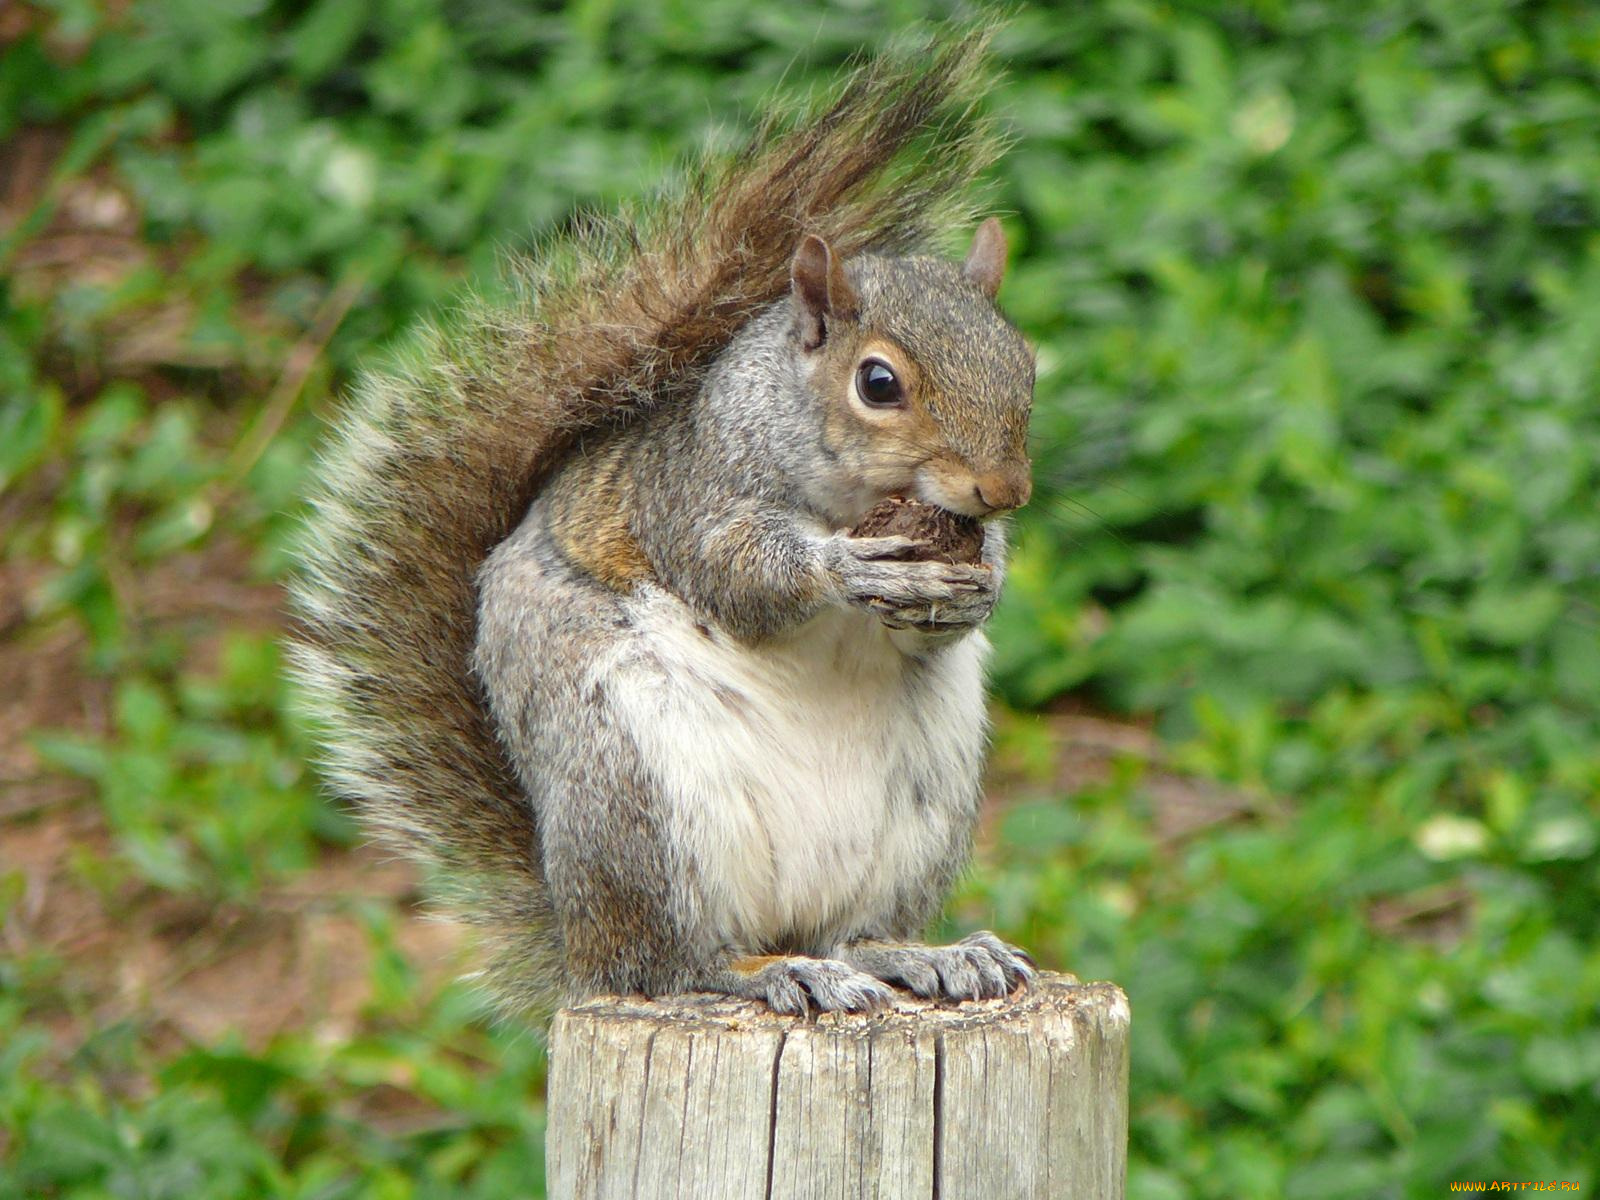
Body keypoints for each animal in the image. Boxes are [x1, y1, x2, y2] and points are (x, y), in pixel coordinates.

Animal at [290, 29, 1039, 1020]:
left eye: (1025, 363)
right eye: (878, 383)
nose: (1004, 489)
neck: (843, 491)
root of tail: (581, 946)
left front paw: (977, 587)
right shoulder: (686, 495)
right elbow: (737, 576)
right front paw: (851, 568)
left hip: (925, 803)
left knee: (850, 931)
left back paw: (921, 955)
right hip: (634, 790)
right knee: (676, 964)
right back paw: (767, 971)